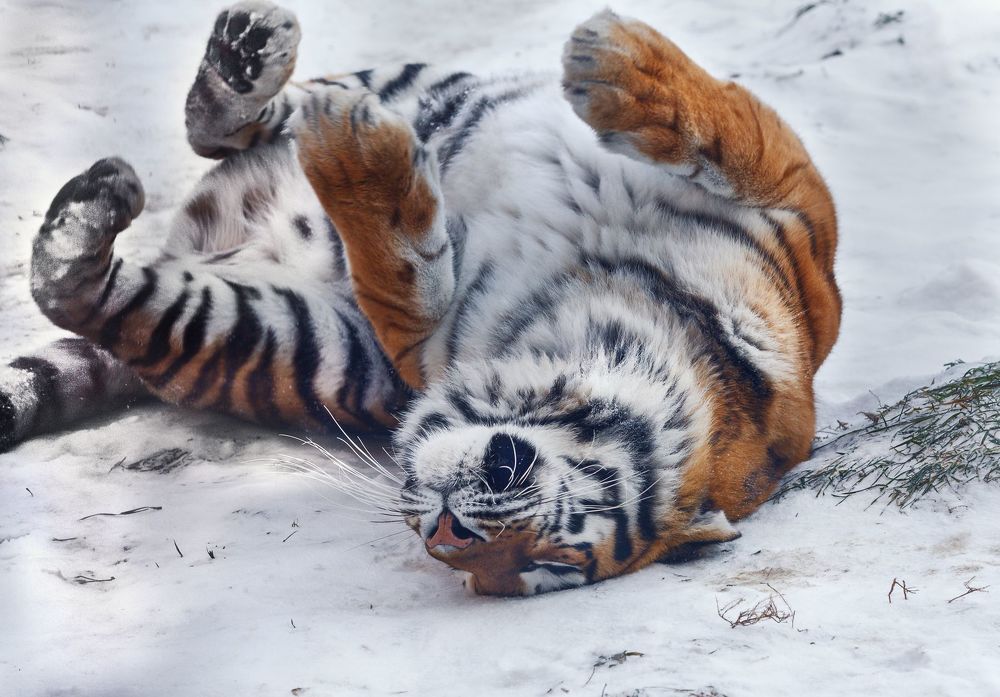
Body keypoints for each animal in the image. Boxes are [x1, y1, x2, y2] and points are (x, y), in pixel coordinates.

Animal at [0, 1, 840, 595]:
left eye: (546, 564)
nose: (443, 533)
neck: (584, 308)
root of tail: (202, 234)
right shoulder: (804, 228)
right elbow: (735, 131)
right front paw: (609, 57)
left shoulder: (414, 349)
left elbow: (404, 283)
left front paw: (353, 159)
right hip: (421, 87)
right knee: (240, 123)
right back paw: (254, 57)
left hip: (272, 332)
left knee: (81, 289)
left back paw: (98, 207)